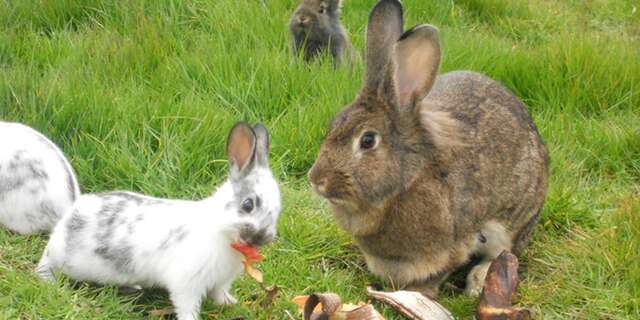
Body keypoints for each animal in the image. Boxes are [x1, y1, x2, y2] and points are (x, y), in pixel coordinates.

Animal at [37, 122, 282, 320]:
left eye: (278, 210)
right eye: (248, 205)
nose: (262, 238)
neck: (222, 232)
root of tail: (72, 211)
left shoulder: (220, 282)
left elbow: (219, 293)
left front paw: (231, 303)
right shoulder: (186, 284)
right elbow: (187, 306)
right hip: (63, 257)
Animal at [308, 0, 548, 298]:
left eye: (367, 140)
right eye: (332, 125)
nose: (316, 179)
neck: (405, 182)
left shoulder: (455, 242)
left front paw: (419, 293)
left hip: (514, 219)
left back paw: (478, 280)